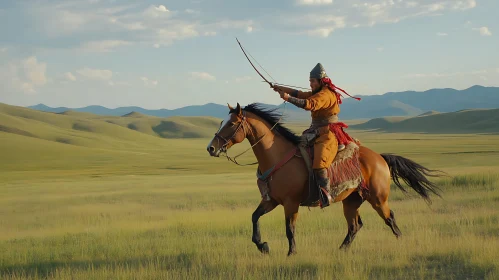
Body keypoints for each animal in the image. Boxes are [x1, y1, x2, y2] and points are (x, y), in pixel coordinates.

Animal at [207, 102, 446, 256]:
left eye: (231, 124)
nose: (211, 148)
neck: (276, 156)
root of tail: (380, 158)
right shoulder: (271, 200)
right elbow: (254, 217)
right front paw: (263, 246)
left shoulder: (291, 203)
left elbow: (289, 229)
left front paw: (291, 254)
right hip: (352, 201)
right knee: (355, 226)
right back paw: (341, 250)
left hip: (378, 199)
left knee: (390, 218)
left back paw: (401, 242)